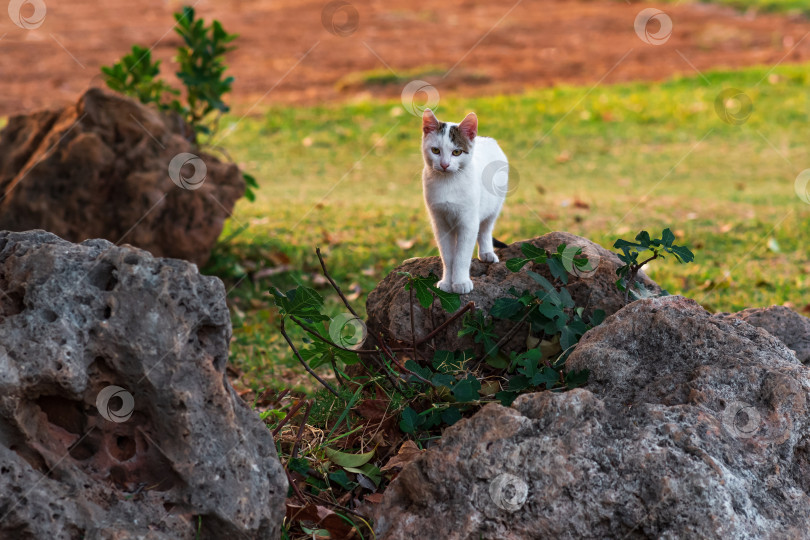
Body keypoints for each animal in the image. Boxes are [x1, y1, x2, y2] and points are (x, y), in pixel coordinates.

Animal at [422, 109, 504, 294]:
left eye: (457, 152)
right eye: (435, 150)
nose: (444, 164)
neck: (448, 182)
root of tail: (485, 139)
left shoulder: (468, 223)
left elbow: (461, 256)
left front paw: (460, 282)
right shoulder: (440, 223)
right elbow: (447, 256)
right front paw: (447, 282)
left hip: (494, 206)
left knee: (485, 229)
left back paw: (487, 252)